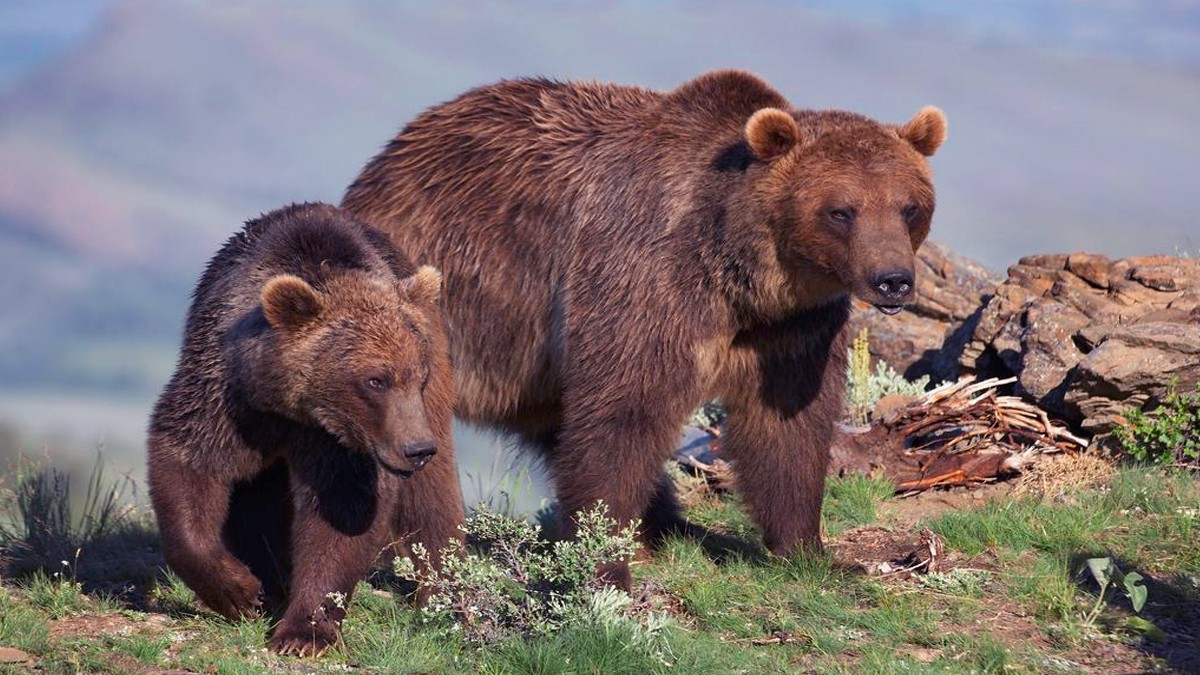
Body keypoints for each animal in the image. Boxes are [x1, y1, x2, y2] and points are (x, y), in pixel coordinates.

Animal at [148, 199, 463, 653]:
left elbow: (341, 512)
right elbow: (191, 461)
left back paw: (442, 595)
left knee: (432, 498)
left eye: (416, 377)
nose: (416, 449)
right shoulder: (228, 397)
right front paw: (240, 591)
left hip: (435, 394)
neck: (288, 404)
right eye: (375, 380)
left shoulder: (338, 443)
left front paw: (303, 632)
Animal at [340, 66, 945, 583]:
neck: (740, 275)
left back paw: (667, 526)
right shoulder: (644, 279)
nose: (893, 280)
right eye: (842, 211)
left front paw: (810, 551)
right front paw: (604, 565)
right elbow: (623, 413)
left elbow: (788, 426)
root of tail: (376, 171)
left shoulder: (791, 328)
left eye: (909, 206)